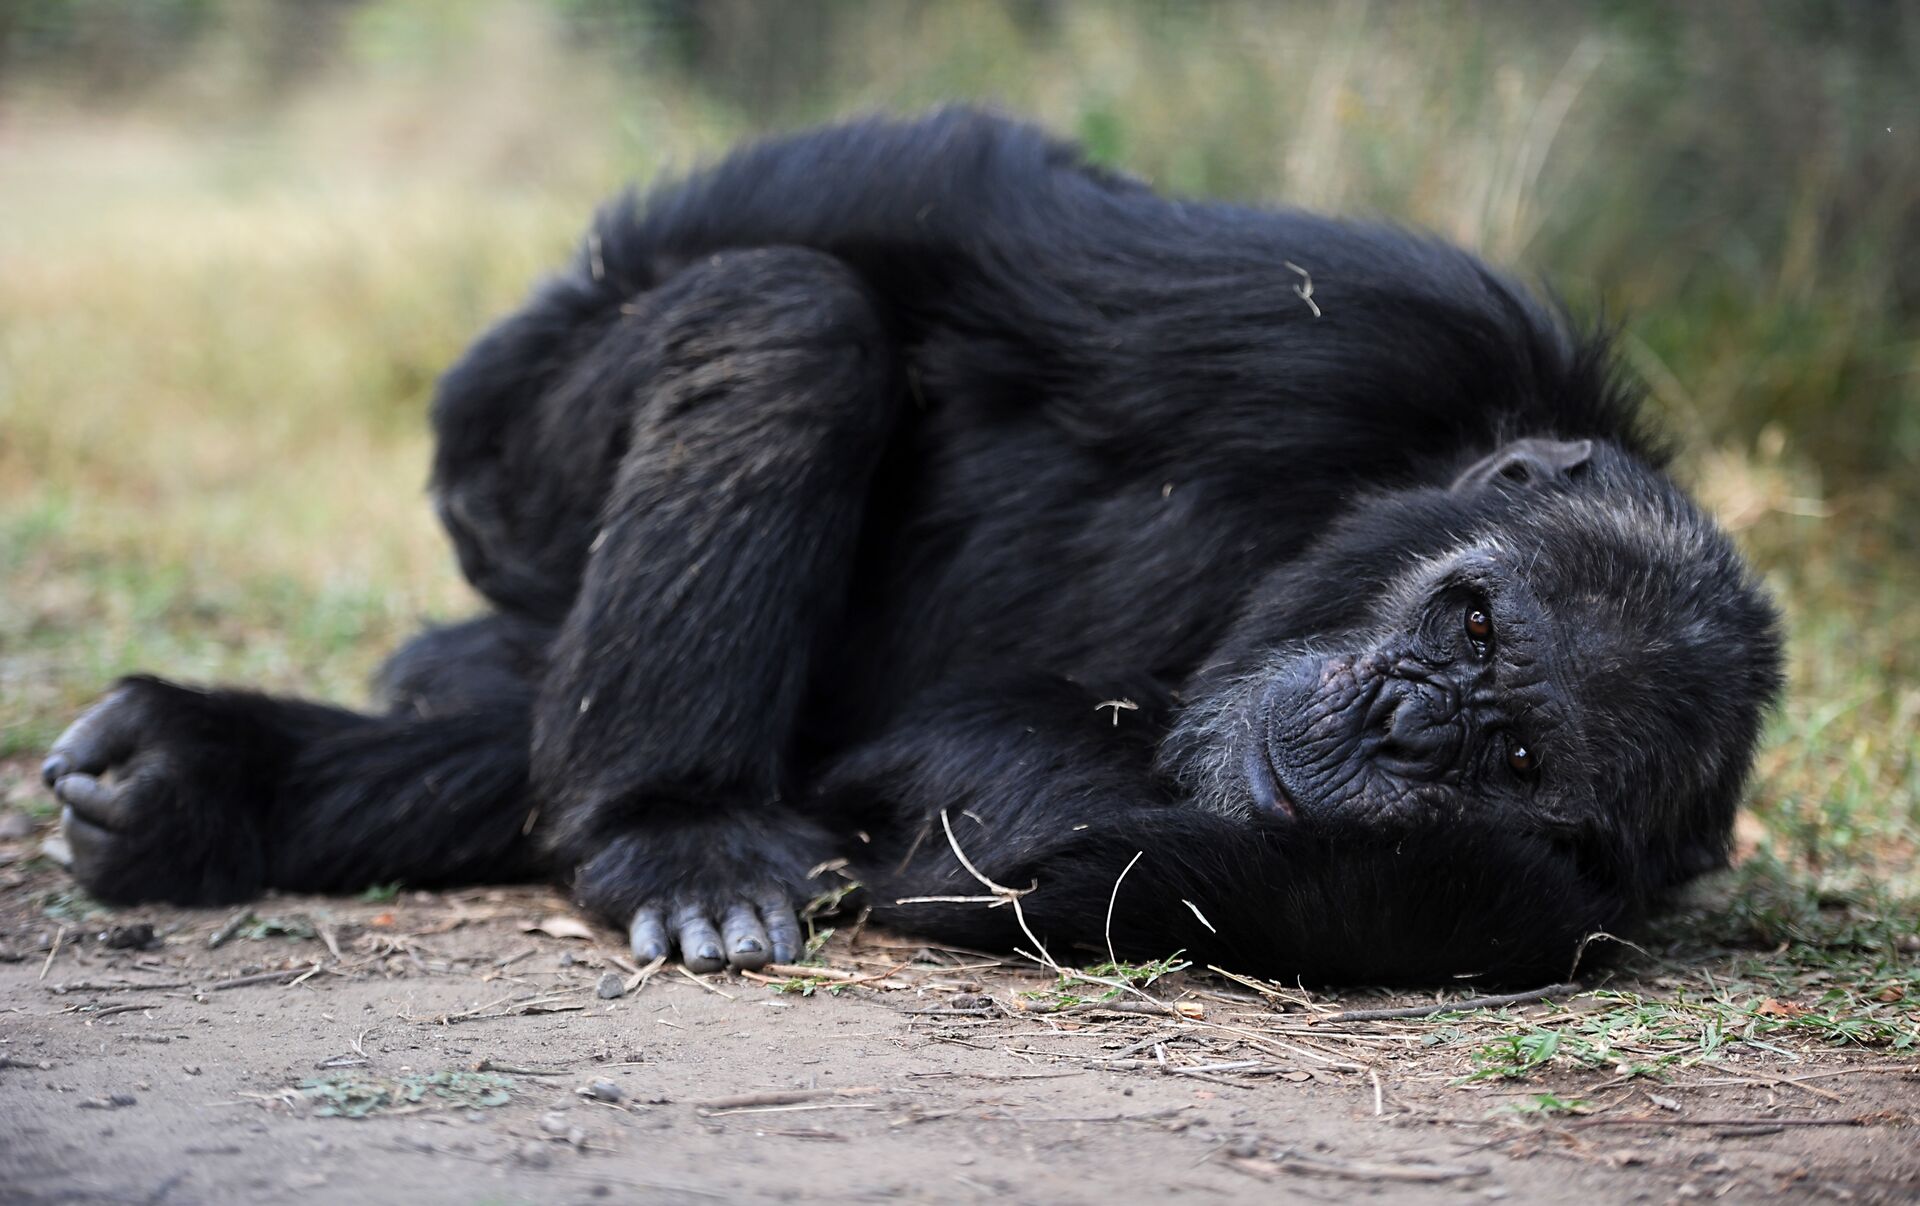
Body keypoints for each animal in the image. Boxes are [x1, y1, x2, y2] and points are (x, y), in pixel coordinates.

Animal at [48, 108, 1781, 983]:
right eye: (1470, 620)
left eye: (1513, 757)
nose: (1412, 720)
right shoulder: (1368, 322)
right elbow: (960, 202)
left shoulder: (1530, 910)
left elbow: (1034, 824)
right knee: (787, 313)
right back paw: (666, 829)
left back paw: (204, 782)